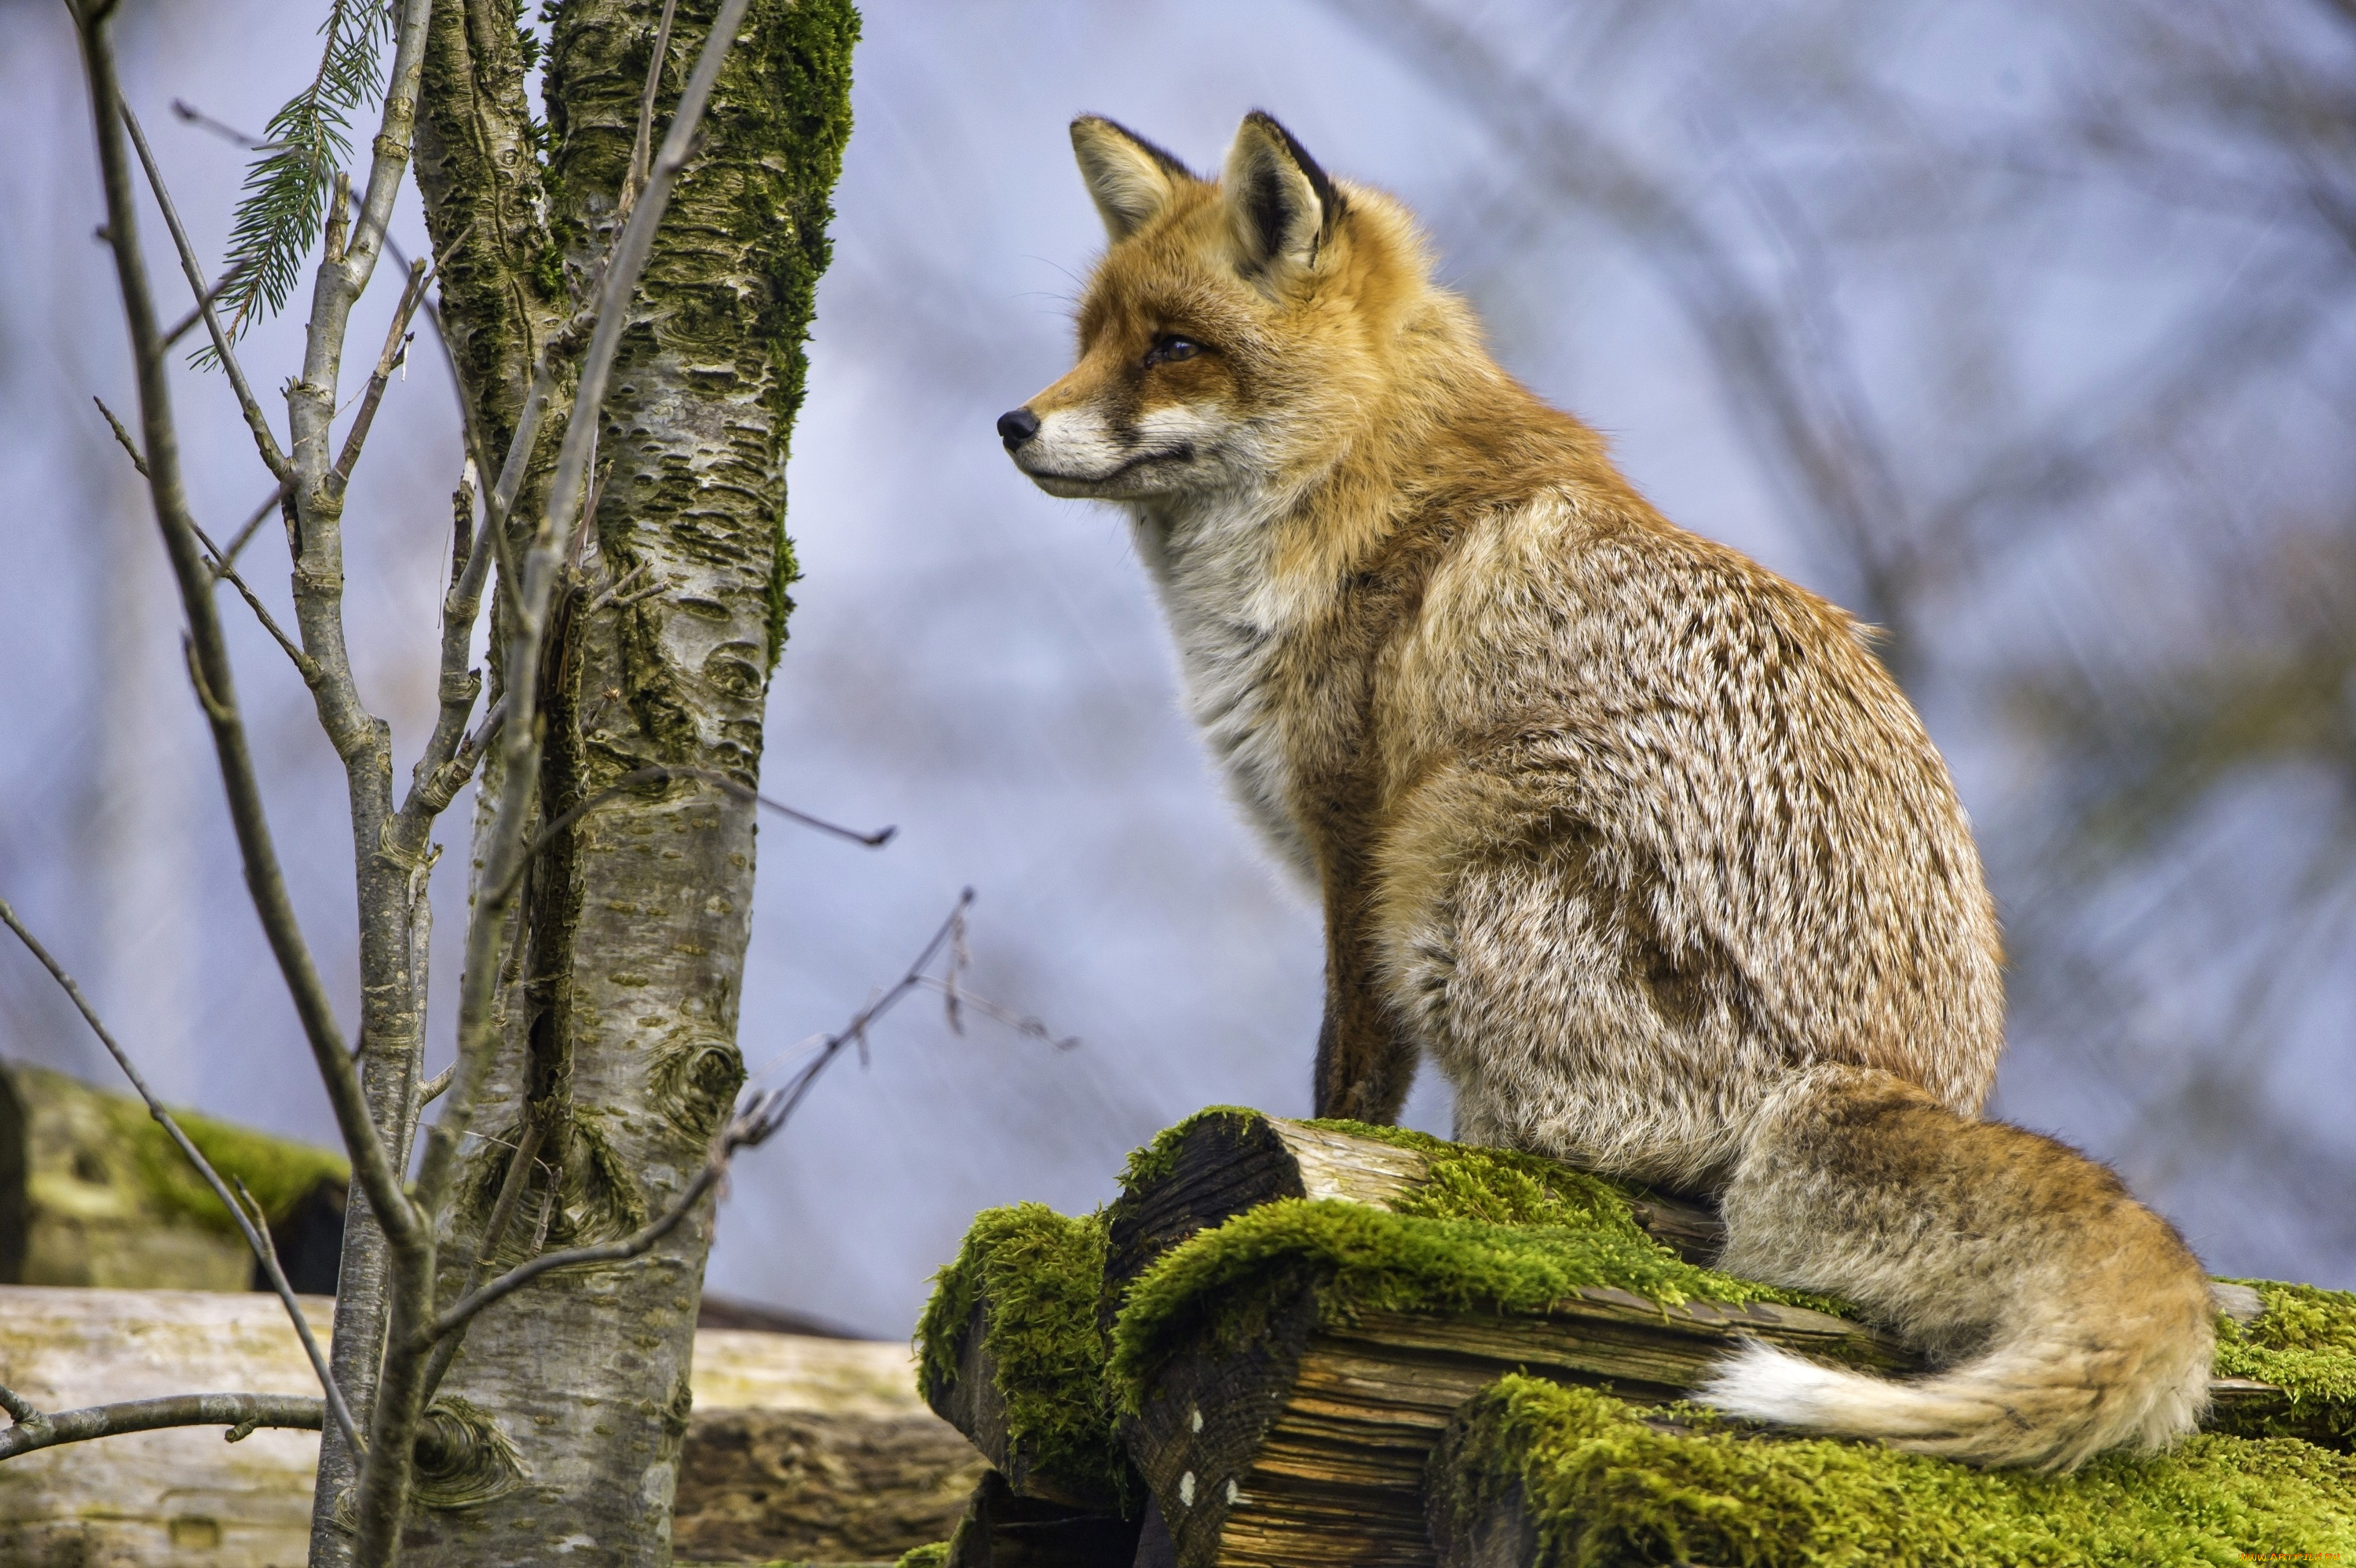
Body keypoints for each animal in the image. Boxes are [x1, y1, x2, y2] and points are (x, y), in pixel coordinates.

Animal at [1004, 110, 2215, 1469]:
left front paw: (1338, 1164)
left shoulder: (1357, 846)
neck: (1357, 498)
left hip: (1458, 859)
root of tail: (1878, 1075)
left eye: (1173, 349)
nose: (1013, 425)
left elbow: (1346, 1088)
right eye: (1089, 339)